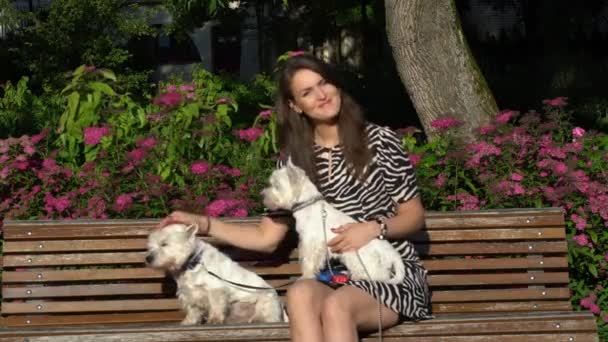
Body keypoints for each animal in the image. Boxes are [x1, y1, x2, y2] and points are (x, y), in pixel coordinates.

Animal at [146, 223, 284, 324]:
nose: (148, 258)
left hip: (264, 300)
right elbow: (193, 309)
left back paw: (258, 320)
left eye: (164, 244)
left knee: (264, 314)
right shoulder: (189, 292)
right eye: (150, 246)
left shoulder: (215, 288)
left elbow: (216, 304)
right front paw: (188, 322)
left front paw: (214, 320)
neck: (192, 262)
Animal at [260, 160, 404, 284]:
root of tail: (391, 253)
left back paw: (359, 276)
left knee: (379, 275)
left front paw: (306, 276)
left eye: (276, 185)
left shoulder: (311, 242)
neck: (307, 204)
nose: (262, 194)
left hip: (357, 257)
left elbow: (309, 261)